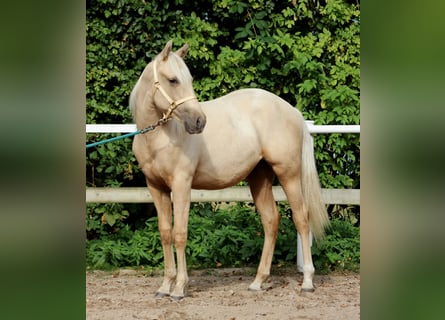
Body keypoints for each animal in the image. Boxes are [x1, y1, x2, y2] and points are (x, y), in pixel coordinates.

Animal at [130, 40, 328, 300]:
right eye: (172, 80)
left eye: (189, 79)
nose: (199, 122)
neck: (161, 137)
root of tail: (292, 111)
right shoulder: (156, 187)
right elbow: (165, 233)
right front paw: (165, 286)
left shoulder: (182, 185)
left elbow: (179, 234)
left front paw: (180, 288)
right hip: (260, 177)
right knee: (271, 220)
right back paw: (258, 281)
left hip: (289, 174)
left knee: (301, 218)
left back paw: (307, 280)